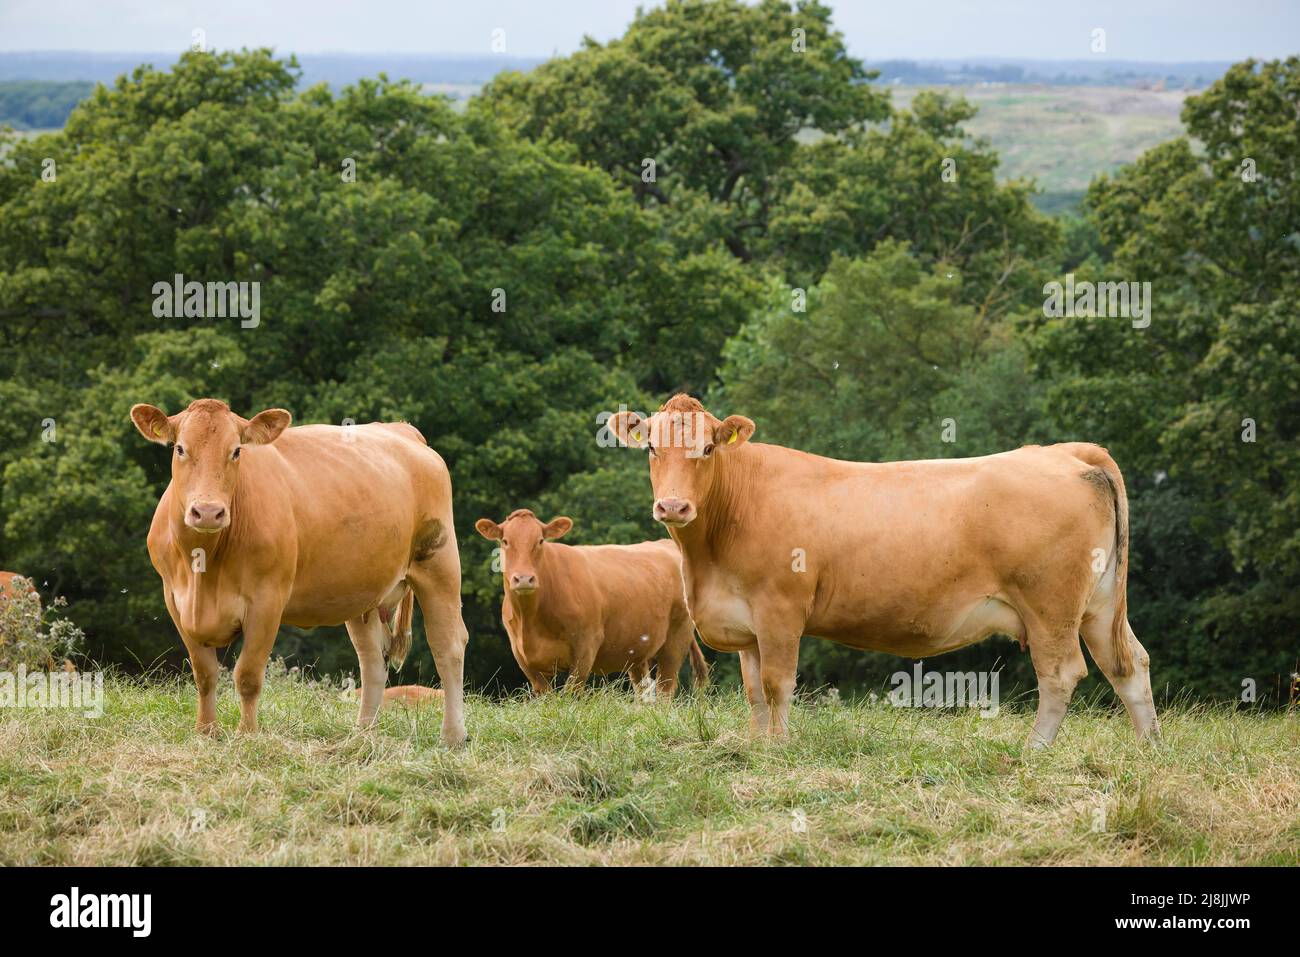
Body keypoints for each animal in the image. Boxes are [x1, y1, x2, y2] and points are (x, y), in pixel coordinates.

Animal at [126, 400, 470, 743]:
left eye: (236, 451)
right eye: (180, 448)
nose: (208, 512)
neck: (204, 569)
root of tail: (403, 430)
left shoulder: (267, 601)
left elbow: (247, 675)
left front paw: (247, 735)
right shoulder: (175, 600)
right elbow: (205, 674)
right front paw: (206, 733)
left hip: (439, 565)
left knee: (448, 646)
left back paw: (452, 736)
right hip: (363, 592)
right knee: (373, 658)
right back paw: (362, 734)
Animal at [473, 509, 707, 696]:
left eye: (540, 541)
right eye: (505, 541)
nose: (523, 579)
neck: (531, 620)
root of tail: (667, 545)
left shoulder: (586, 646)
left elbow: (570, 694)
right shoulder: (523, 657)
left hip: (676, 639)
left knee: (665, 688)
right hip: (638, 650)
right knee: (643, 690)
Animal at [613, 395, 1164, 748]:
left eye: (707, 448)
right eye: (651, 448)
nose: (673, 506)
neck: (707, 559)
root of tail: (1063, 452)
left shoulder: (780, 609)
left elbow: (776, 684)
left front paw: (780, 750)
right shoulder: (745, 621)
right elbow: (752, 692)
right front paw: (756, 746)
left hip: (1051, 605)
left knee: (1061, 673)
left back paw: (1033, 752)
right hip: (1098, 603)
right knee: (1129, 663)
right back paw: (1148, 751)